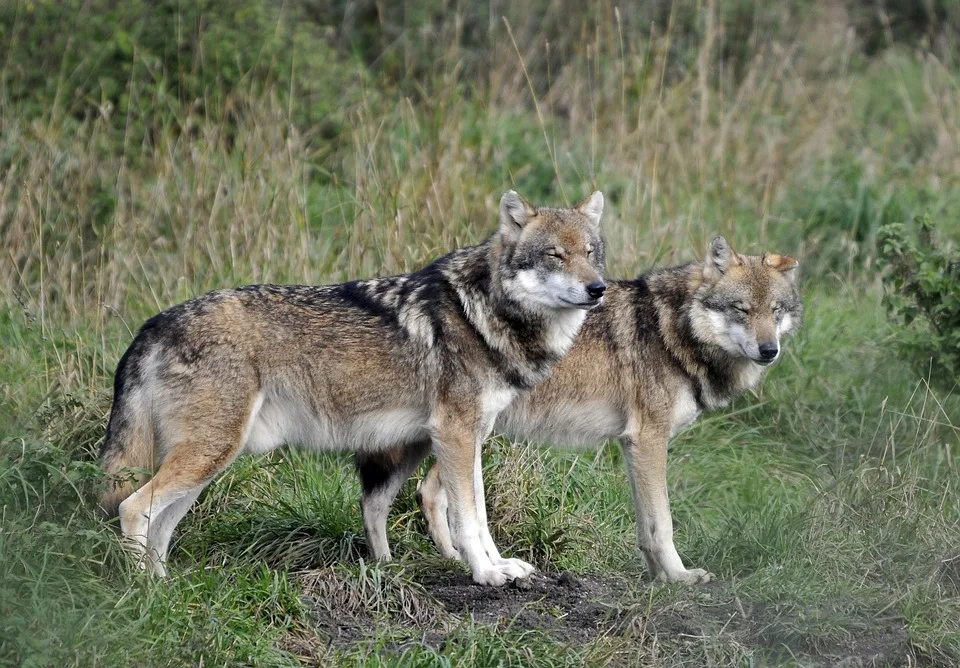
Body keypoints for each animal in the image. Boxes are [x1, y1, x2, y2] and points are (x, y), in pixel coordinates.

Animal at [99, 188, 608, 584]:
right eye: (554, 255)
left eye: (589, 253)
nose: (598, 289)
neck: (480, 313)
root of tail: (154, 323)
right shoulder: (456, 435)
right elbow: (468, 518)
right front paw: (486, 574)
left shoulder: (471, 437)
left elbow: (478, 515)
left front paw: (500, 566)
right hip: (209, 454)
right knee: (132, 509)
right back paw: (145, 592)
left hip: (209, 461)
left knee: (161, 526)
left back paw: (165, 585)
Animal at [356, 237, 800, 580]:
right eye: (741, 309)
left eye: (776, 311)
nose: (769, 350)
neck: (670, 331)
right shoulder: (649, 440)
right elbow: (663, 524)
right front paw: (679, 577)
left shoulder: (633, 446)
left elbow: (646, 526)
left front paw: (658, 577)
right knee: (422, 494)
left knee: (425, 492)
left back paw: (445, 560)